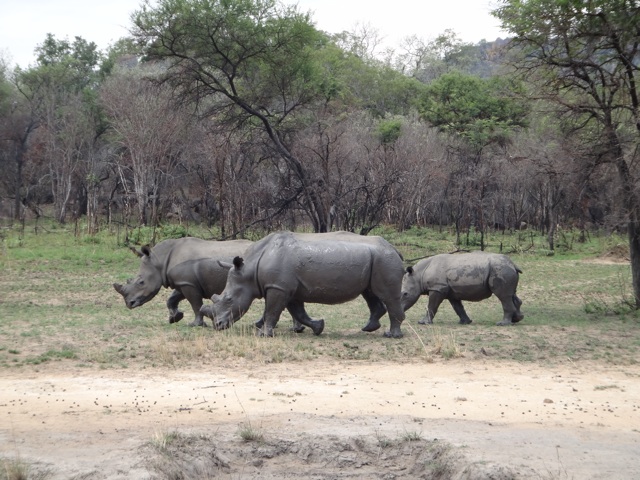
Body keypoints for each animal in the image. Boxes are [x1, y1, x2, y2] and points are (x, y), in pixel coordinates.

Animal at [200, 231, 406, 338]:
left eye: (228, 299)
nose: (218, 325)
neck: (250, 269)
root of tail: (394, 248)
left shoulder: (278, 287)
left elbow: (272, 311)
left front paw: (263, 335)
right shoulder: (287, 288)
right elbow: (298, 312)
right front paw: (318, 327)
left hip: (384, 259)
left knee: (387, 295)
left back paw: (391, 335)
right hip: (376, 260)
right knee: (370, 293)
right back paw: (368, 328)